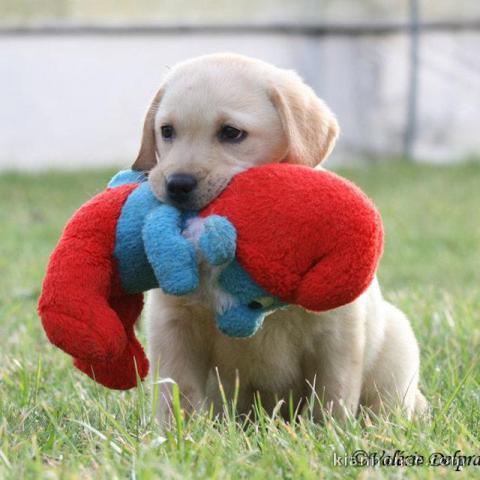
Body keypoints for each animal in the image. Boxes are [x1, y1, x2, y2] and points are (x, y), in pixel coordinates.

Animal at [132, 53, 428, 424]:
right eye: (167, 131)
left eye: (231, 133)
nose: (177, 185)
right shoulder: (173, 324)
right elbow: (177, 394)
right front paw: (174, 433)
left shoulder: (336, 331)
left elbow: (333, 394)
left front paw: (331, 432)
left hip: (398, 348)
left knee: (386, 406)